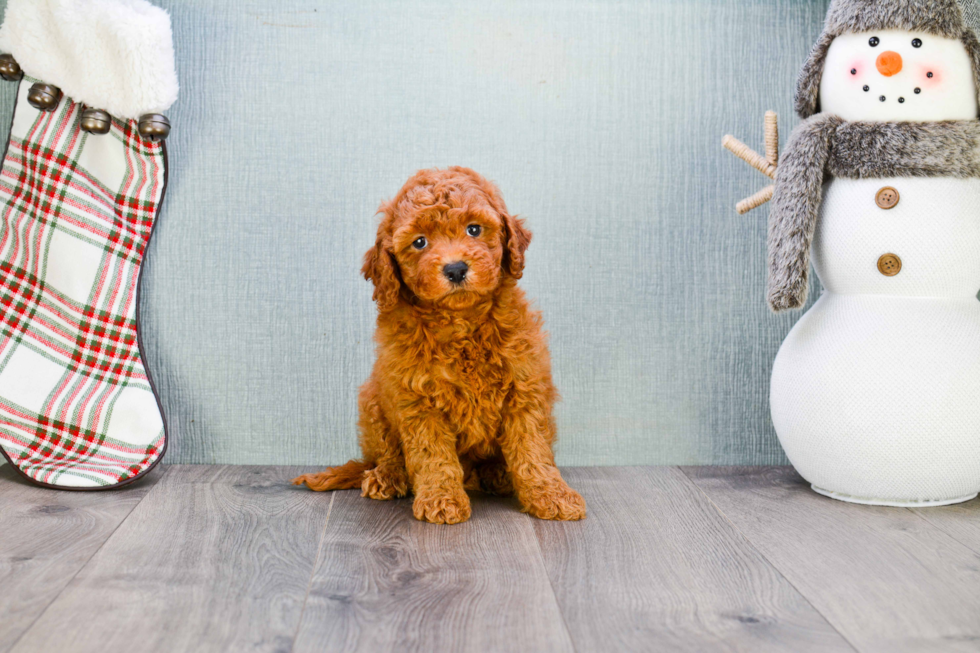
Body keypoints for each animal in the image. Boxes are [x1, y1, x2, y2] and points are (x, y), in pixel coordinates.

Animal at [290, 167, 580, 524]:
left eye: (474, 229)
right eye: (419, 242)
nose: (455, 268)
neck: (460, 322)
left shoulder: (524, 387)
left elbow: (533, 449)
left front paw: (551, 494)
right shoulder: (417, 398)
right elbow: (432, 454)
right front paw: (441, 499)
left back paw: (497, 473)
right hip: (372, 401)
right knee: (386, 453)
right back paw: (388, 476)